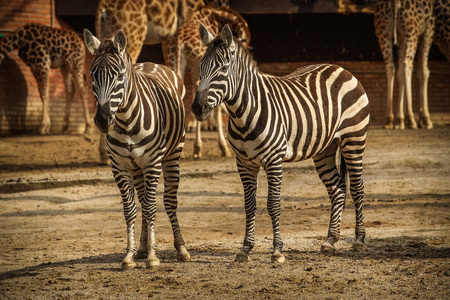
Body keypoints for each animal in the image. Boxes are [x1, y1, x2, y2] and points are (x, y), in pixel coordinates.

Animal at [83, 28, 191, 270]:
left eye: (119, 76)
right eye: (92, 76)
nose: (103, 120)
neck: (125, 121)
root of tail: (153, 63)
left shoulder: (152, 164)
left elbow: (151, 207)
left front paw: (152, 257)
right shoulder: (120, 167)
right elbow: (131, 209)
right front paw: (130, 255)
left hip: (172, 156)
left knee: (169, 201)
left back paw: (181, 248)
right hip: (136, 168)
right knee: (142, 199)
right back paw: (141, 247)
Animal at [192, 24, 370, 264]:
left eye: (223, 68)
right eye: (201, 66)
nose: (197, 108)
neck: (243, 114)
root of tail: (340, 68)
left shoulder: (274, 159)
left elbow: (273, 205)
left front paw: (277, 250)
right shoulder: (244, 163)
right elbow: (249, 205)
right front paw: (245, 249)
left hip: (354, 140)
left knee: (357, 189)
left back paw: (359, 241)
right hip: (325, 149)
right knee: (338, 189)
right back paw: (330, 241)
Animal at [374, 0, 448, 129]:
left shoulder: (400, 37)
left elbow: (400, 74)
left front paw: (400, 119)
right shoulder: (428, 30)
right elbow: (423, 72)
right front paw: (425, 119)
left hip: (383, 30)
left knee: (391, 67)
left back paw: (389, 120)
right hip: (411, 30)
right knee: (407, 65)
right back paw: (411, 119)